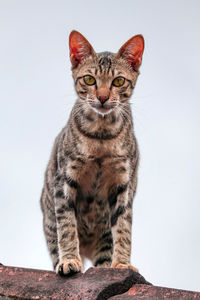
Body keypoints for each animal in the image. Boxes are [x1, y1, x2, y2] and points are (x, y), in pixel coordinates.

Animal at [40, 29, 144, 276]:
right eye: (89, 79)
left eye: (118, 81)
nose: (103, 97)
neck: (101, 137)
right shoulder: (64, 180)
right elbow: (67, 226)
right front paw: (69, 260)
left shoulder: (123, 185)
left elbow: (124, 229)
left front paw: (122, 264)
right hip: (49, 222)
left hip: (103, 232)